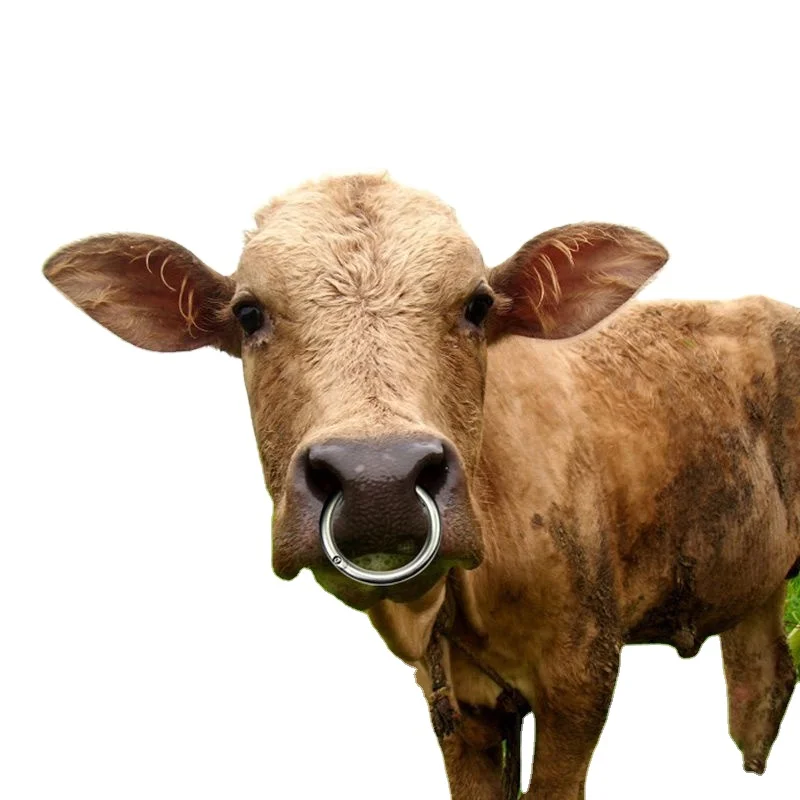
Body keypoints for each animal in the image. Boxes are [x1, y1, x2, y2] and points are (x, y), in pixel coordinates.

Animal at [43, 174, 799, 799]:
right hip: (754, 583)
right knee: (762, 679)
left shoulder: (582, 679)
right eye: (248, 312)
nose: (377, 480)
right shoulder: (459, 712)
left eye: (477, 306)